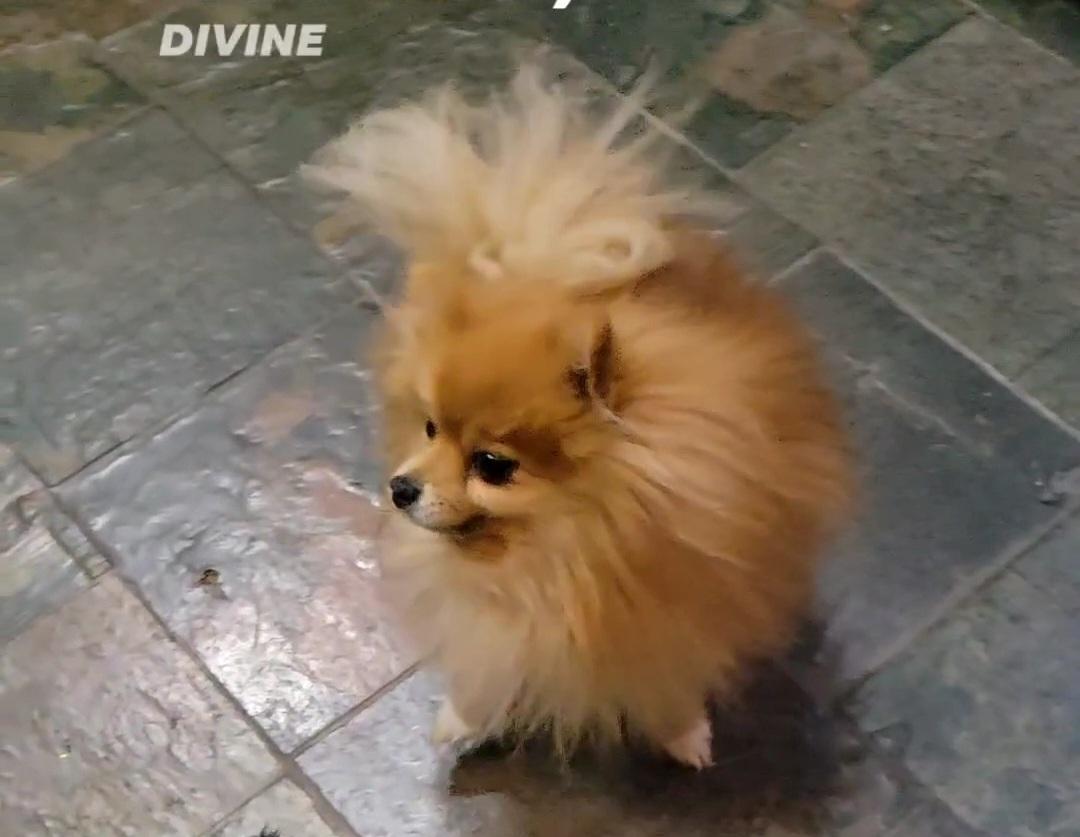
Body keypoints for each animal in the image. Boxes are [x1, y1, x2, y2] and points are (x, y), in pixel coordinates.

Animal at [306, 64, 853, 768]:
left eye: (492, 465)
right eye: (428, 428)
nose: (400, 487)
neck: (568, 556)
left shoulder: (675, 611)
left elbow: (666, 674)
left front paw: (683, 733)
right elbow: (489, 660)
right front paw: (465, 717)